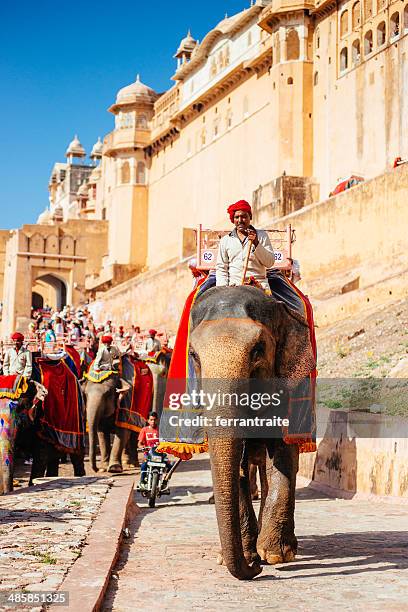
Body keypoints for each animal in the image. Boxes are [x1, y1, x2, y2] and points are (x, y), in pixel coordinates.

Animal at [189, 284, 316, 580]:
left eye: (258, 349)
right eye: (194, 356)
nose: (255, 569)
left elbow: (283, 452)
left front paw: (274, 555)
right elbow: (239, 464)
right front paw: (247, 557)